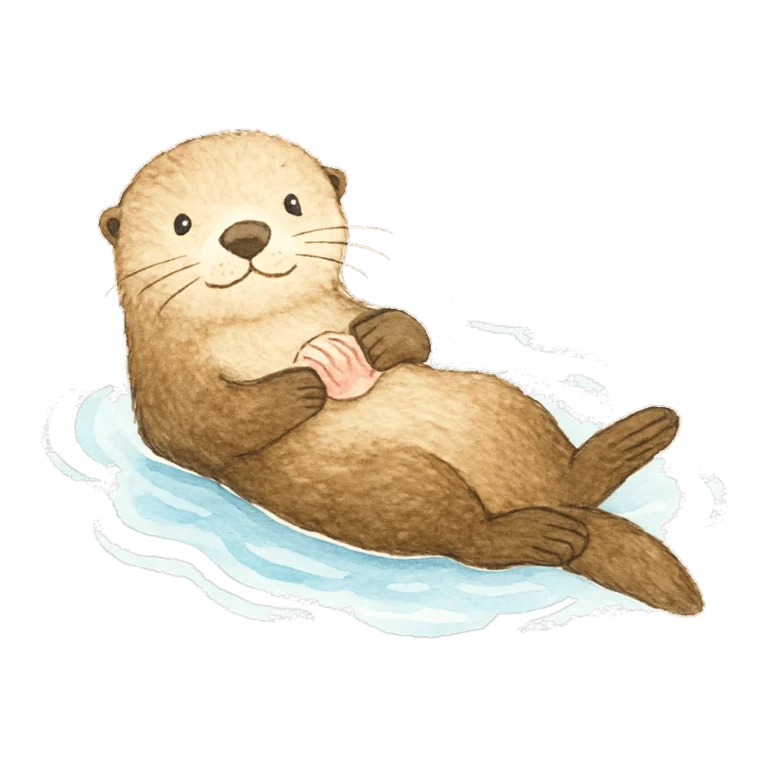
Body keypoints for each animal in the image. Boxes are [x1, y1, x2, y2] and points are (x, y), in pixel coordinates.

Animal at [97, 128, 704, 617]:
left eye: (291, 203)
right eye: (182, 223)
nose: (246, 233)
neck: (263, 326)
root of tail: (538, 499)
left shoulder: (349, 308)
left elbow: (413, 331)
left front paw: (377, 342)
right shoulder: (167, 383)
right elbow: (203, 425)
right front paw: (306, 384)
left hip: (504, 405)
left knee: (569, 475)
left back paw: (642, 431)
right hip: (392, 489)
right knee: (466, 536)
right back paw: (548, 534)